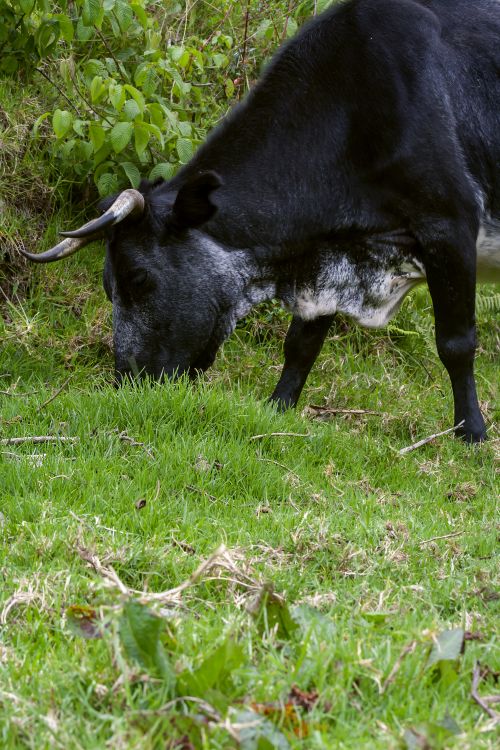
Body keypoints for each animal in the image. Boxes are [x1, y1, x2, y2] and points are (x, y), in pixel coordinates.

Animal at [22, 0, 500, 443]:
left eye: (138, 277)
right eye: (108, 286)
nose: (128, 380)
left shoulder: (449, 226)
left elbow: (455, 342)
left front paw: (472, 431)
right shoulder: (328, 259)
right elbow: (301, 344)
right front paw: (279, 406)